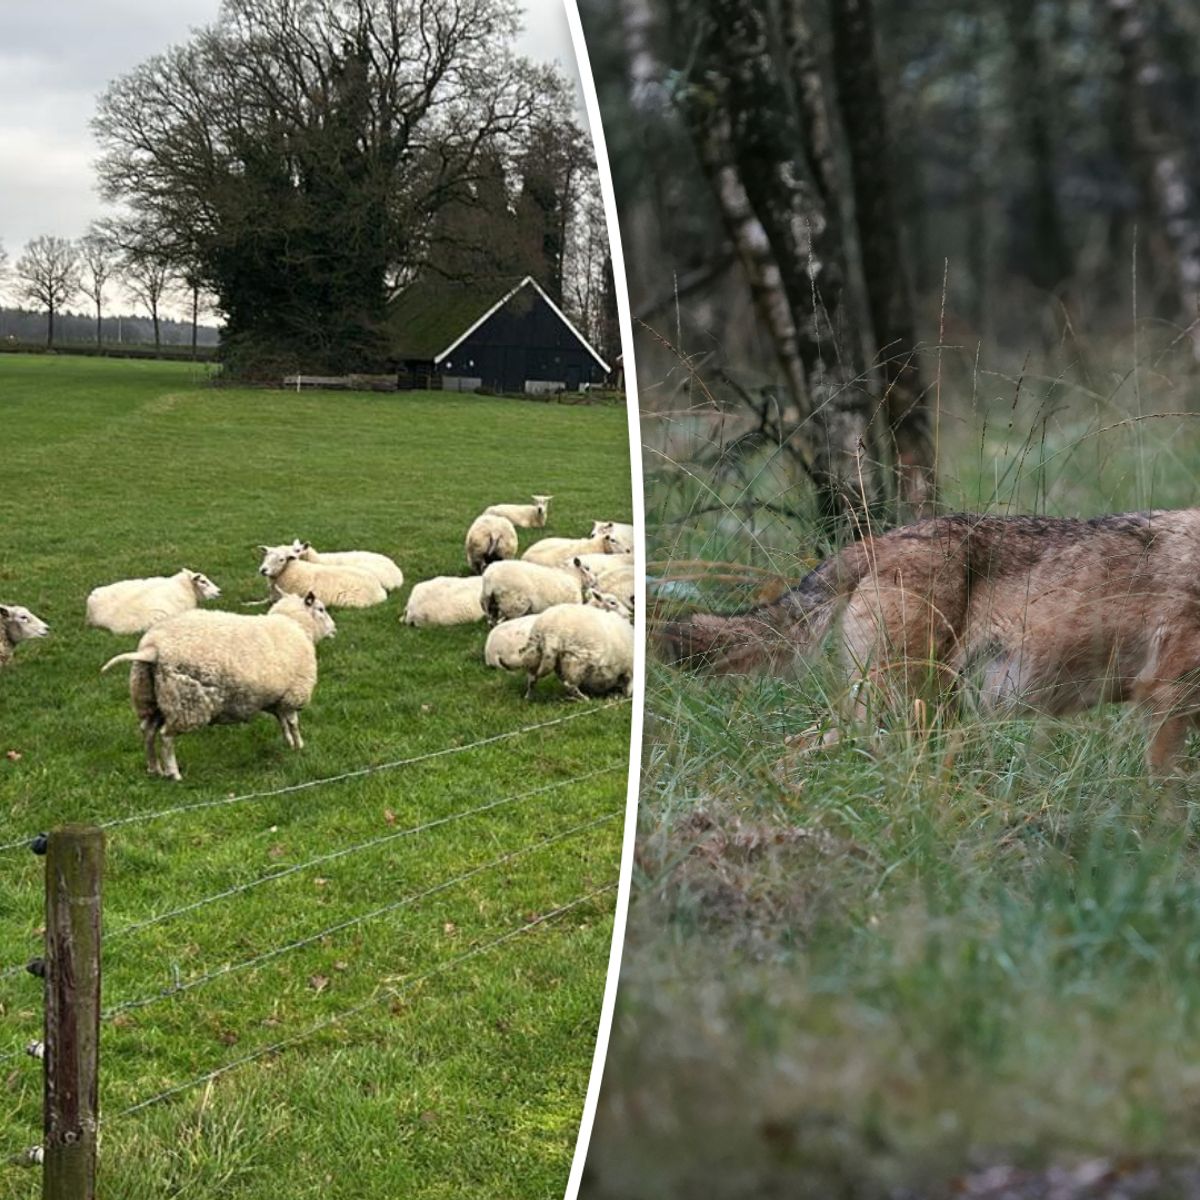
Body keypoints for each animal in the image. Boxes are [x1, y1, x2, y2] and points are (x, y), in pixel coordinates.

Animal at [659, 510, 1200, 772]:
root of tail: (875, 540)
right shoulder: (1165, 699)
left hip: (914, 714)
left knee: (794, 744)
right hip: (900, 714)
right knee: (798, 748)